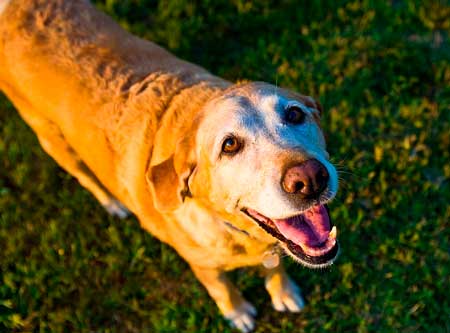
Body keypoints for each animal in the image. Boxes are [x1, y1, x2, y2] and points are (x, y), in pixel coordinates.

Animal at [0, 1, 338, 330]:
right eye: (229, 145)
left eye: (294, 114)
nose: (309, 179)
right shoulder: (203, 266)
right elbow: (223, 289)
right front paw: (238, 312)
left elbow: (276, 266)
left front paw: (283, 292)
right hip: (53, 140)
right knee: (85, 177)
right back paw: (112, 204)